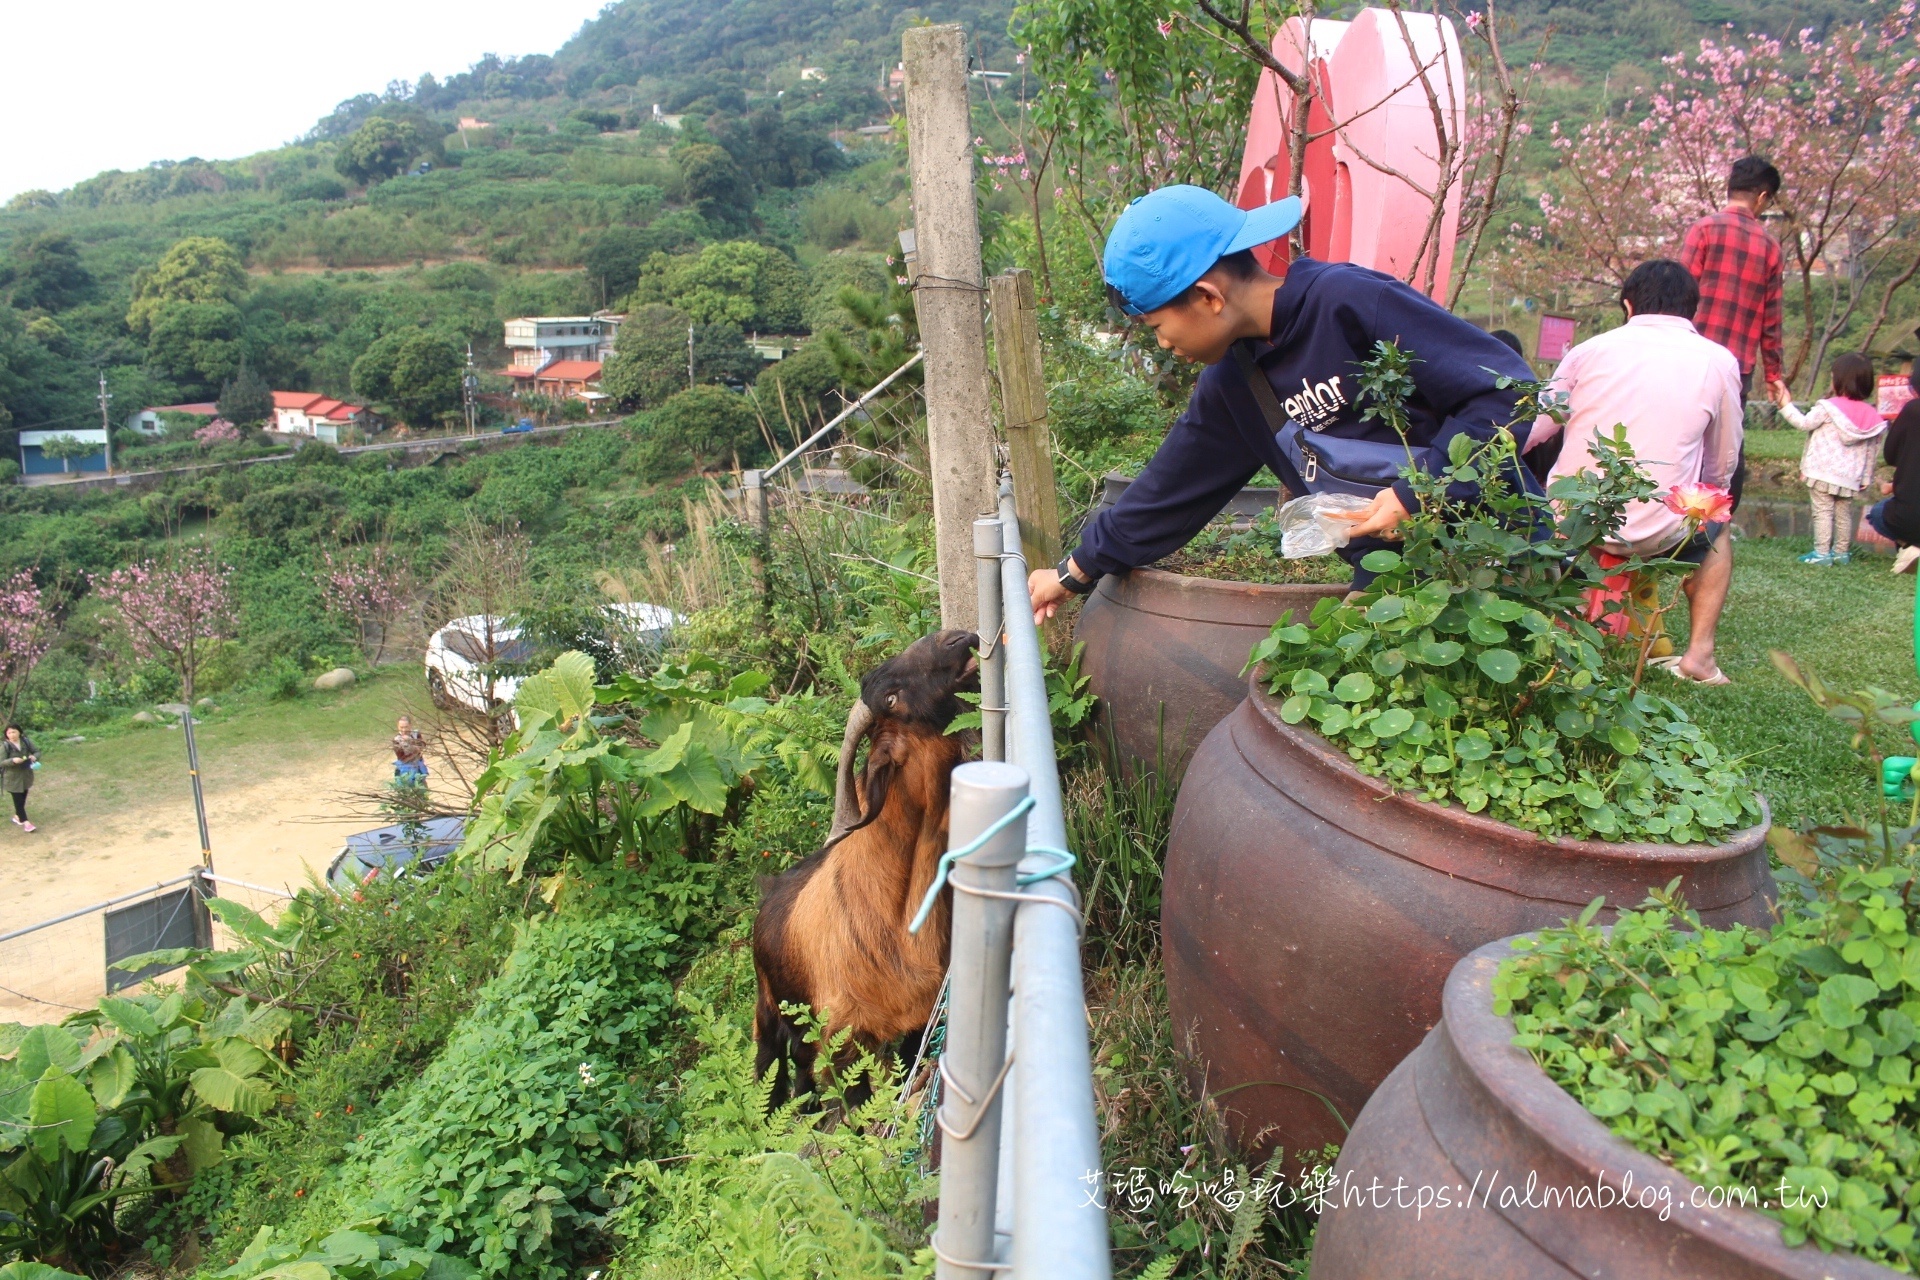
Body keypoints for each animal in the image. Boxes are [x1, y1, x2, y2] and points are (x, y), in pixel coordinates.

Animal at [752, 629, 983, 1105]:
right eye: (891, 699)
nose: (956, 638)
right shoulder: (847, 1041)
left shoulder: (918, 1022)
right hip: (768, 1015)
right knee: (770, 1074)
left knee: (801, 1073)